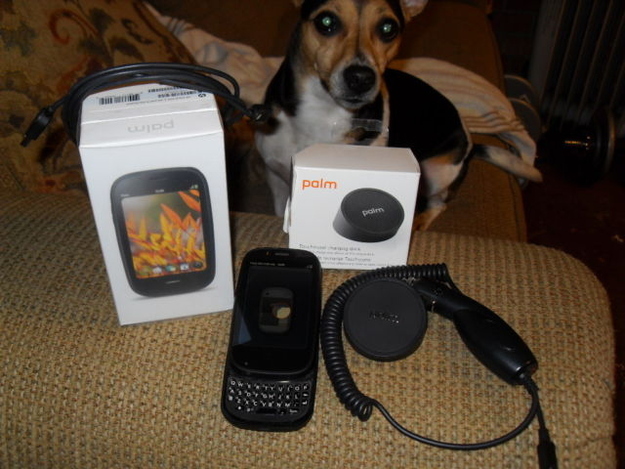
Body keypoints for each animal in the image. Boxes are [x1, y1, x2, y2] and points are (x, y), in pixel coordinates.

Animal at [255, 0, 541, 230]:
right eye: (326, 22)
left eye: (388, 28)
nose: (361, 78)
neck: (321, 111)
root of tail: (470, 146)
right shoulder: (276, 178)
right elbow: (281, 210)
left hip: (435, 172)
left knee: (439, 203)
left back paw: (420, 222)